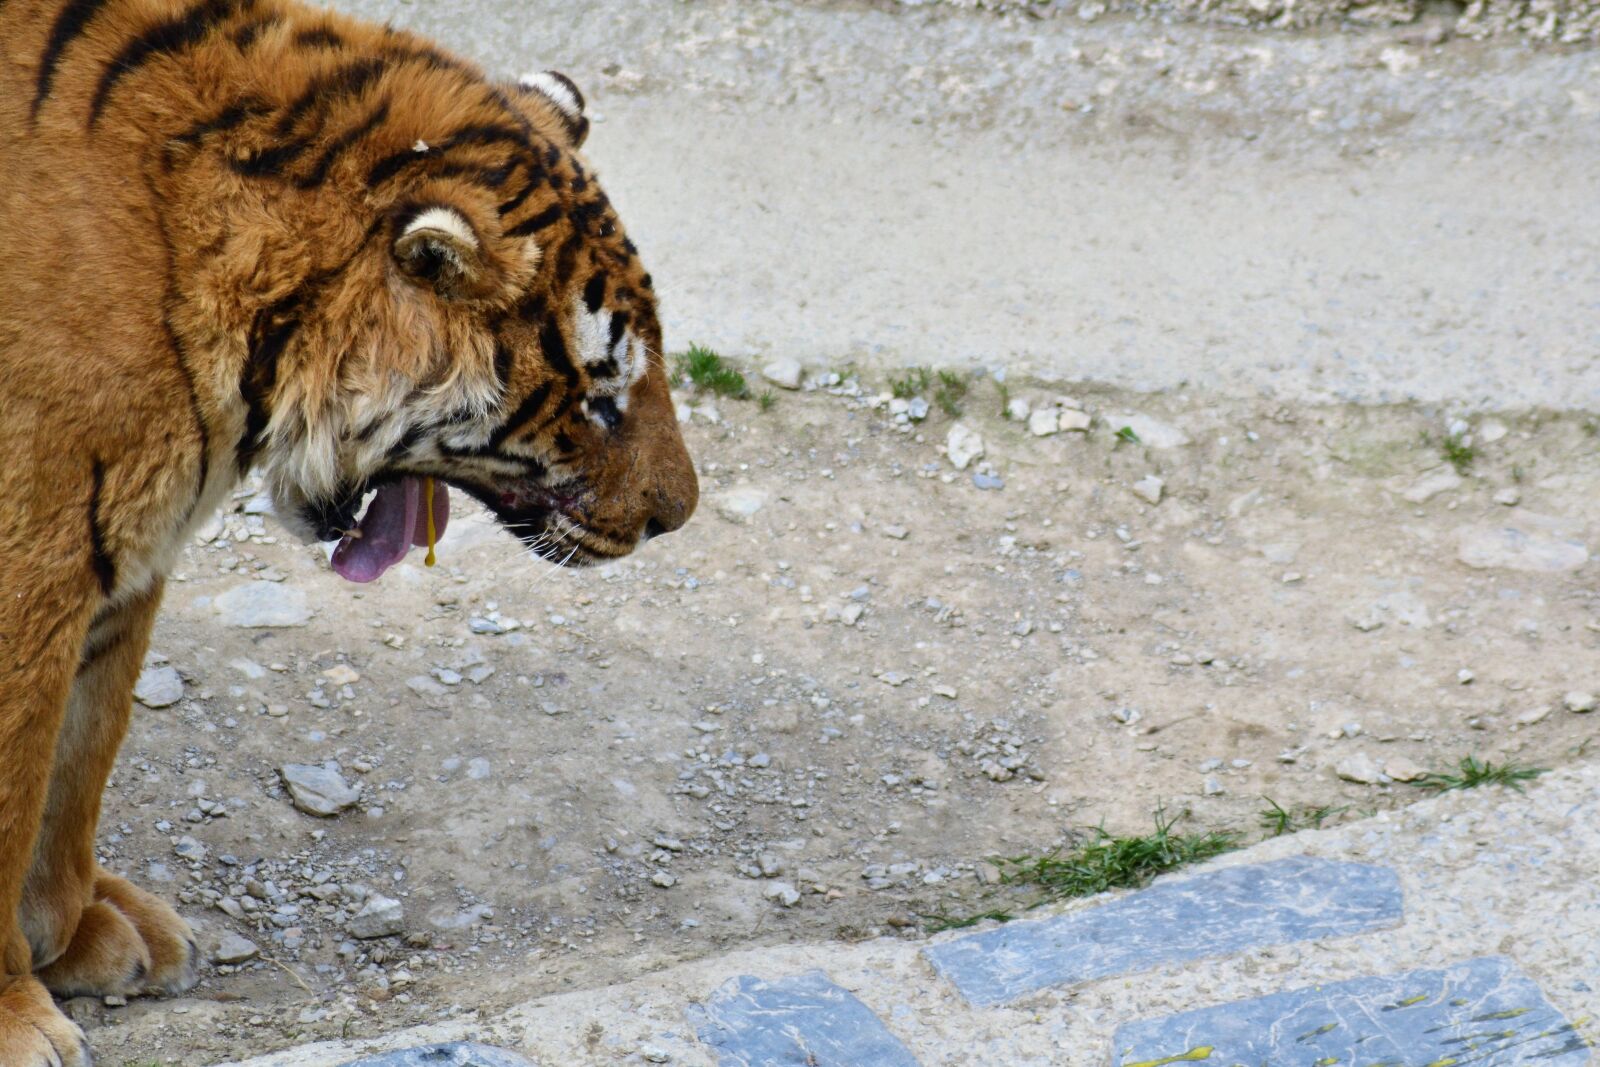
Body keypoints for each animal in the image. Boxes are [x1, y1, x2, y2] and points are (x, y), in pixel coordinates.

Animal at [0, 0, 699, 1060]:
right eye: (601, 393)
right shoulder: (29, 577)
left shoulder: (119, 566)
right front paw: (16, 1014)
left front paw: (78, 931)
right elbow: (13, 801)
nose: (680, 513)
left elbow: (78, 767)